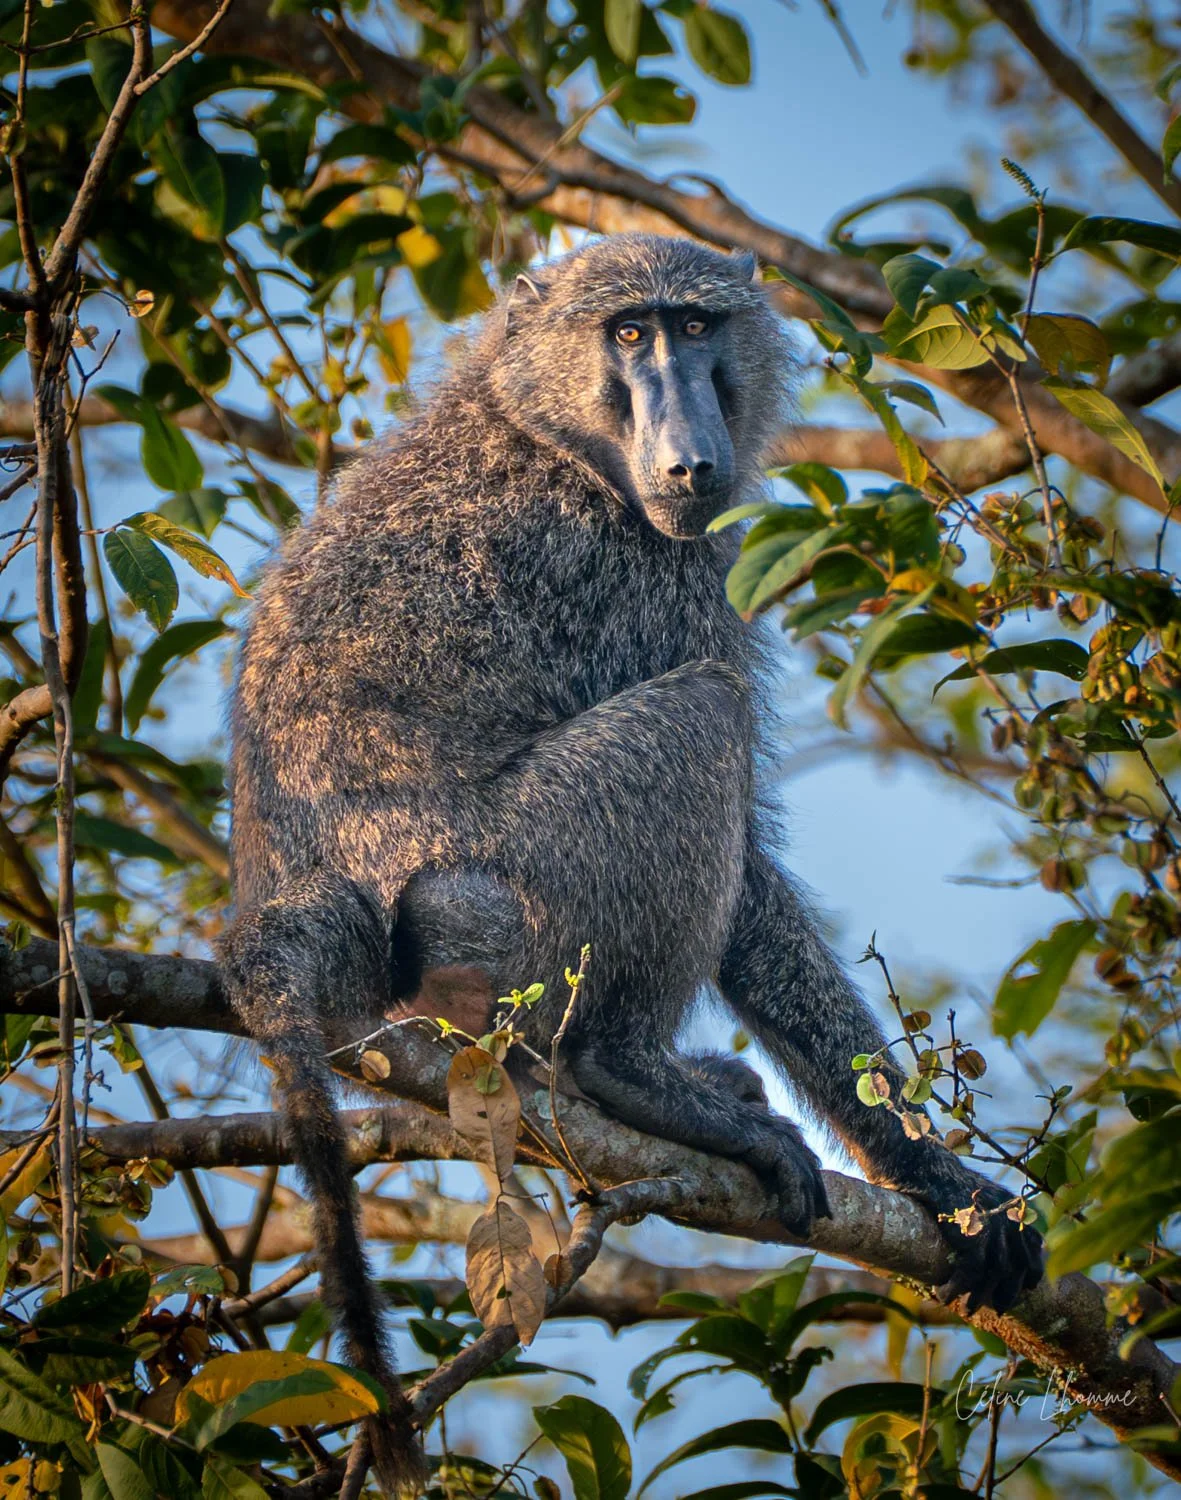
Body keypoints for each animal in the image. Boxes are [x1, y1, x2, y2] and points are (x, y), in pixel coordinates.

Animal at [220, 233, 1043, 1497]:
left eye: (696, 328)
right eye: (628, 335)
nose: (690, 459)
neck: (530, 417)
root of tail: (312, 886)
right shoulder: (650, 571)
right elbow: (747, 878)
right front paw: (934, 1175)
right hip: (509, 896)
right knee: (698, 718)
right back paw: (626, 1074)